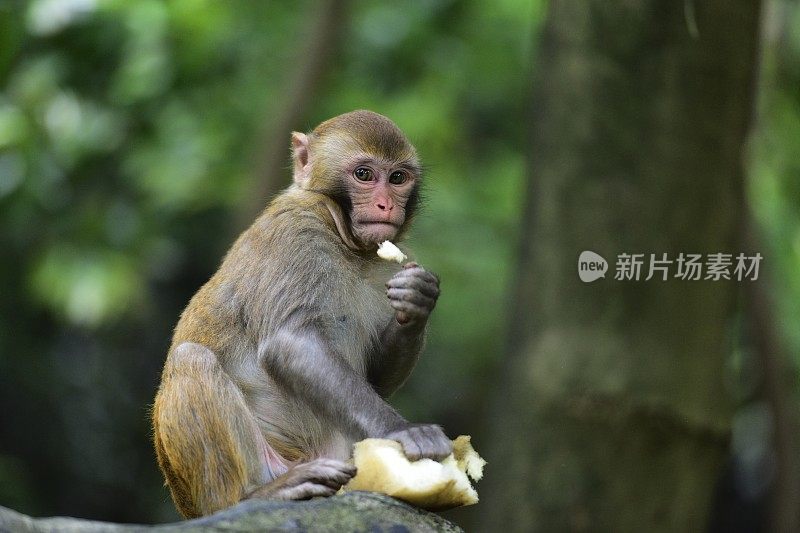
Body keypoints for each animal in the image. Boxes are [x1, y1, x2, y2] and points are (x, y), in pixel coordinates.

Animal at [150, 110, 450, 516]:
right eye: (364, 175)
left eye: (397, 178)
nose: (386, 205)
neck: (343, 238)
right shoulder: (294, 233)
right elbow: (289, 341)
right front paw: (400, 430)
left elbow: (375, 377)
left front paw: (419, 299)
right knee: (191, 358)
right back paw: (256, 495)